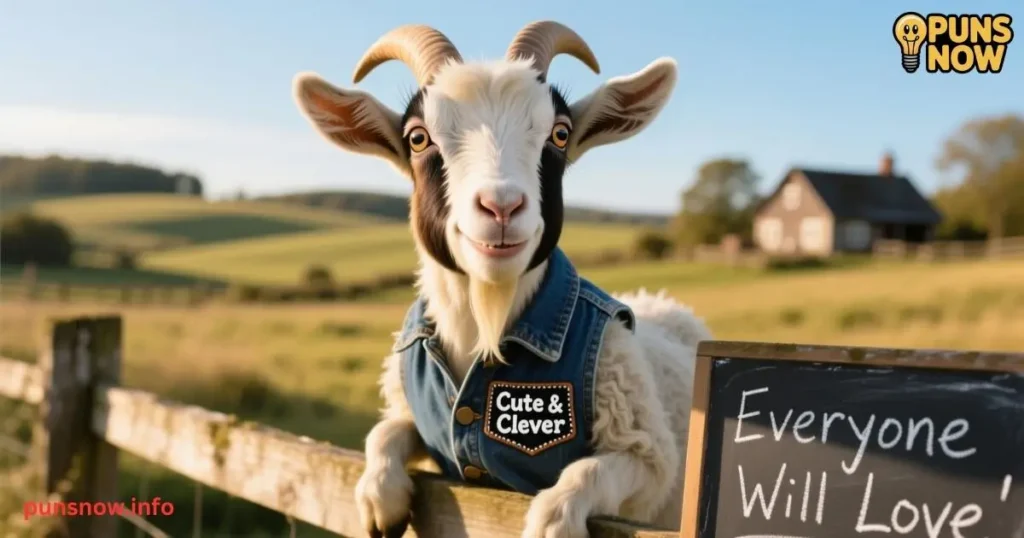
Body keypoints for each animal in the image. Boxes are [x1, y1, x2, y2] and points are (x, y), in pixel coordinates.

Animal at [293, 21, 711, 538]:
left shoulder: (649, 454)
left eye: (560, 133)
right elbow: (385, 430)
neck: (486, 326)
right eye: (417, 138)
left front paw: (553, 520)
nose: (501, 207)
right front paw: (379, 497)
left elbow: (590, 470)